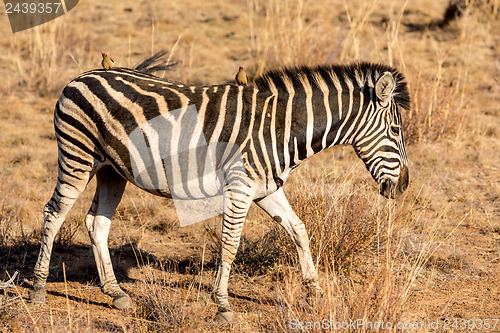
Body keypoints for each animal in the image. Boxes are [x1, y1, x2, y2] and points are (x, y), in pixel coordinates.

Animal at [28, 60, 410, 322]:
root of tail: (82, 76)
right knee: (54, 214)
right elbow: (230, 244)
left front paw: (314, 292)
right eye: (395, 130)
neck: (282, 128)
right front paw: (223, 305)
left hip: (112, 170)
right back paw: (37, 289)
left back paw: (116, 293)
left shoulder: (266, 189)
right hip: (78, 156)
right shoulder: (240, 188)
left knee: (97, 224)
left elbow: (300, 230)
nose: (404, 186)